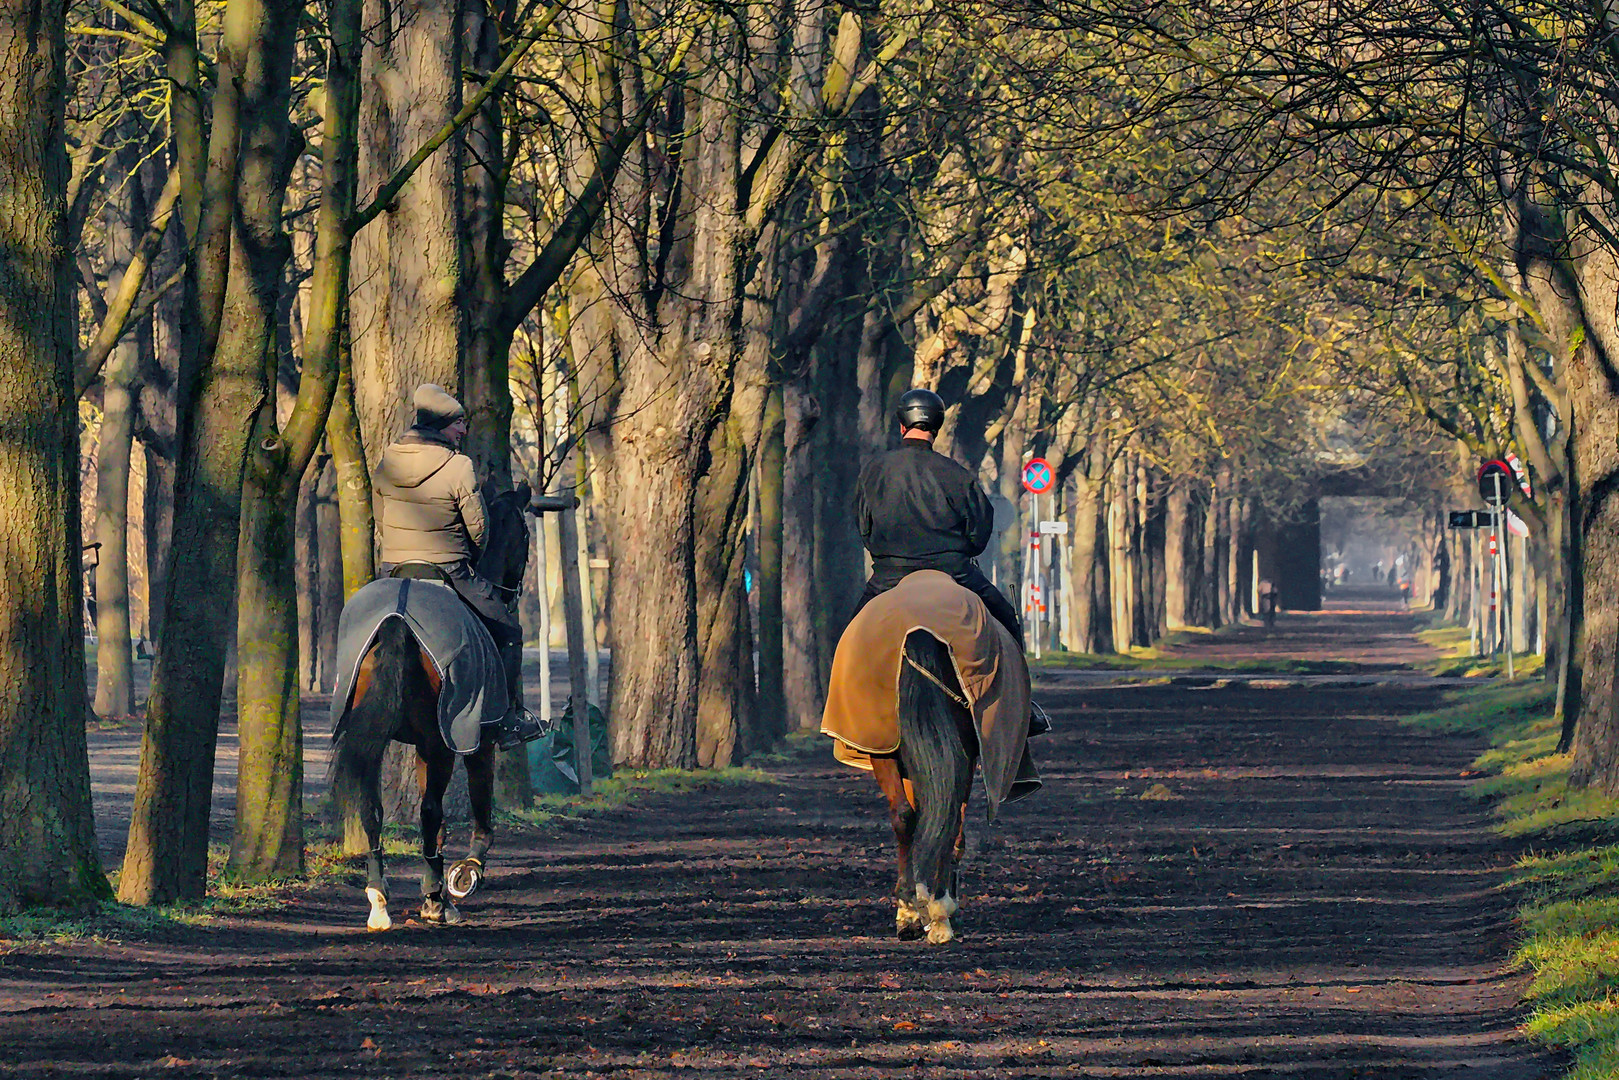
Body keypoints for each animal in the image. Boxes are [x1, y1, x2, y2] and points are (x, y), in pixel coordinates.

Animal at [328, 482, 531, 932]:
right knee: (429, 811)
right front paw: (464, 875)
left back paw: (379, 899)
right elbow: (479, 816)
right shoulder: (473, 741)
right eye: (526, 535)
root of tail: (397, 617)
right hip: (442, 742)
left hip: (377, 737)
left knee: (373, 810)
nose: (514, 593)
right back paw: (438, 900)